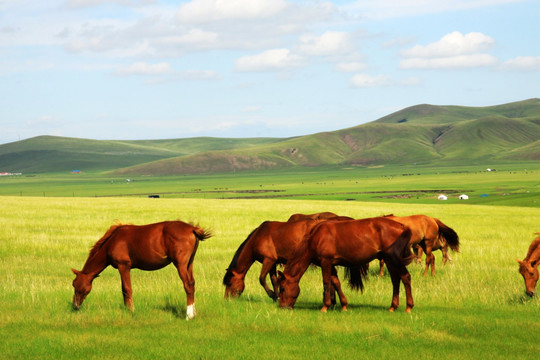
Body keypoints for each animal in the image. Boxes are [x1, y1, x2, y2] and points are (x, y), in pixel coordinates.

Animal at [73, 221, 211, 320]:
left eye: (77, 286)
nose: (75, 306)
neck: (113, 241)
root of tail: (192, 228)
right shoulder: (124, 269)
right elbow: (123, 290)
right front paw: (127, 309)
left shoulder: (124, 267)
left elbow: (127, 289)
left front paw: (131, 311)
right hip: (189, 264)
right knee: (192, 284)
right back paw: (194, 313)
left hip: (181, 265)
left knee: (187, 285)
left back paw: (188, 316)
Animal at [221, 215, 352, 302]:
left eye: (229, 283)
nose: (227, 299)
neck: (258, 237)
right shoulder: (273, 262)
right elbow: (274, 280)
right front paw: (277, 297)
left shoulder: (268, 260)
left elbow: (262, 279)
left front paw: (272, 295)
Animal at [278, 218, 414, 314]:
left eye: (283, 288)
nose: (282, 307)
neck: (315, 238)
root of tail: (401, 226)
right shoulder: (331, 264)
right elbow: (336, 283)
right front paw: (344, 305)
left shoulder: (326, 262)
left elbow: (326, 282)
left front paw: (325, 306)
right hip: (389, 260)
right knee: (396, 280)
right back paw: (393, 307)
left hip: (393, 259)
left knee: (405, 277)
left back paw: (408, 307)